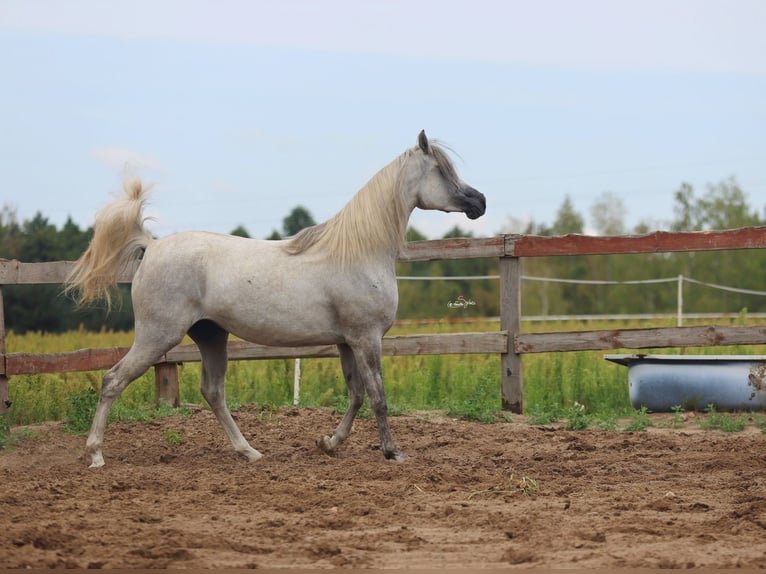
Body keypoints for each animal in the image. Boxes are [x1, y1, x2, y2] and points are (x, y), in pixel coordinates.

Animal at [66, 130, 486, 468]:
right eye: (442, 171)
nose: (479, 201)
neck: (359, 252)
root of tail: (151, 248)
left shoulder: (347, 342)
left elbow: (355, 396)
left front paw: (328, 443)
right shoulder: (367, 339)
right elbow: (378, 397)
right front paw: (393, 452)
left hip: (211, 336)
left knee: (213, 393)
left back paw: (249, 452)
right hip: (158, 336)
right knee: (113, 380)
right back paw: (96, 455)